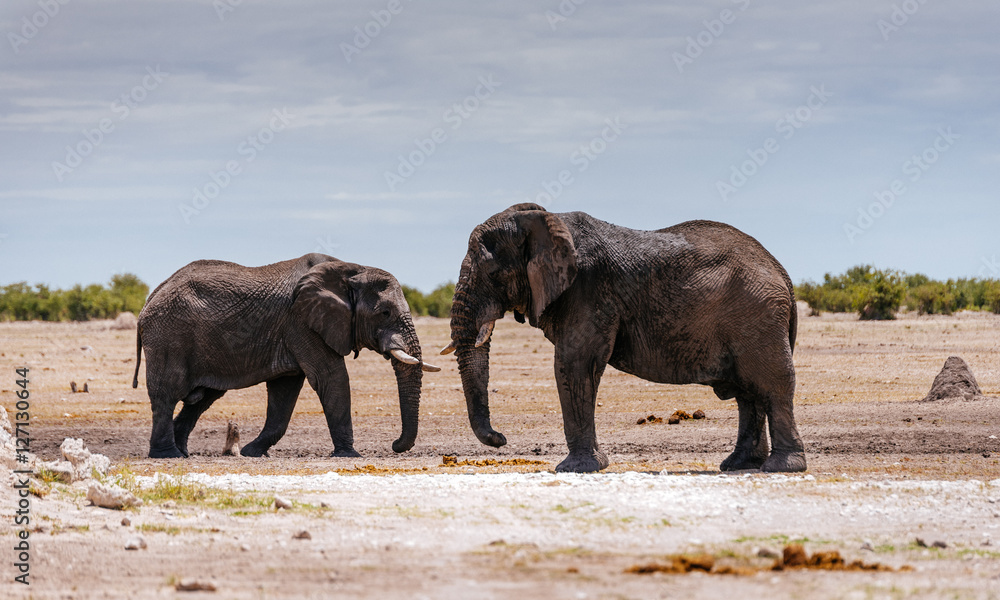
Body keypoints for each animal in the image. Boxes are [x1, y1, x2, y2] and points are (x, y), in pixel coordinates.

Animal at [132, 253, 439, 459]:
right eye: (385, 313)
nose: (395, 446)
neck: (352, 269)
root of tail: (149, 299)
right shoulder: (302, 322)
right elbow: (331, 378)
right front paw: (349, 455)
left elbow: (285, 391)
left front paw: (252, 452)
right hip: (169, 337)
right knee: (166, 394)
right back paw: (168, 454)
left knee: (202, 398)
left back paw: (183, 452)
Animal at [442, 203, 805, 473]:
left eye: (493, 273)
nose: (501, 439)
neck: (545, 221)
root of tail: (783, 273)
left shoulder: (586, 290)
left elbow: (574, 364)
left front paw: (576, 469)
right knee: (749, 393)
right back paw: (739, 465)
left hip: (758, 315)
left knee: (772, 384)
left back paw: (781, 468)